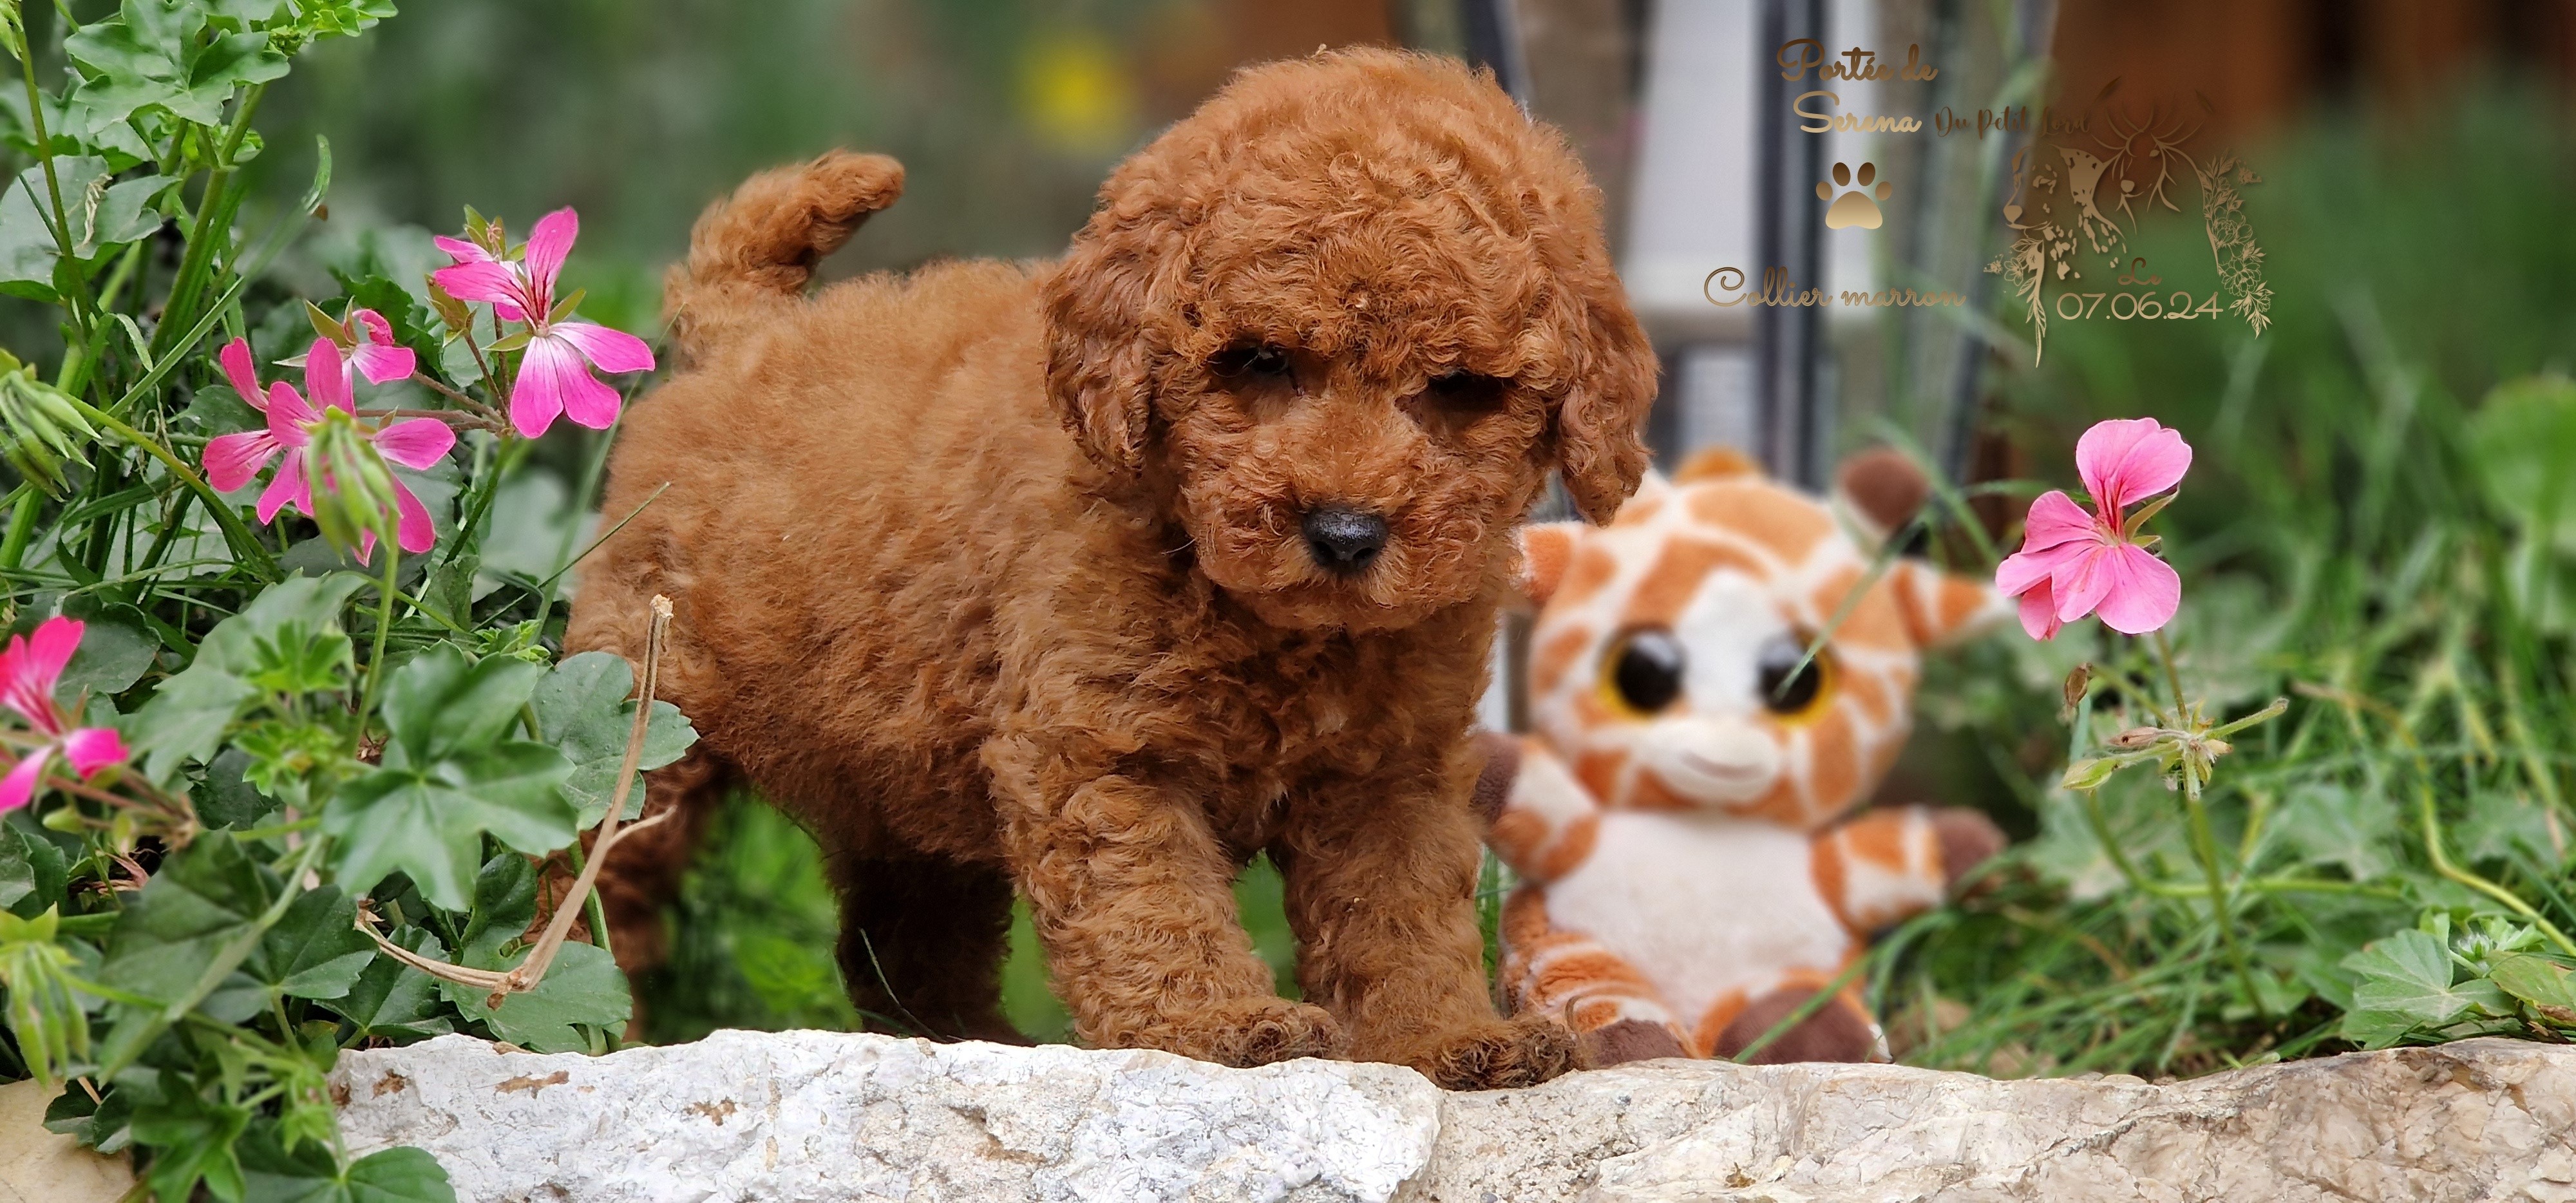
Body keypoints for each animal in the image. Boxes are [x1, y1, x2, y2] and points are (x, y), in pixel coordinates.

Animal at [567, 50, 1659, 1092]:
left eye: (1460, 388)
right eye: (1261, 362)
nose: (1346, 532)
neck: (1273, 618)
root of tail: (740, 334)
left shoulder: (1390, 773)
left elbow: (1401, 918)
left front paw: (1447, 1038)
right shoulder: (1097, 751)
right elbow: (1154, 903)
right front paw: (1218, 1026)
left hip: (901, 759)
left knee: (905, 932)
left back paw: (980, 1045)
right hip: (649, 714)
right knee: (599, 873)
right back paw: (587, 1021)